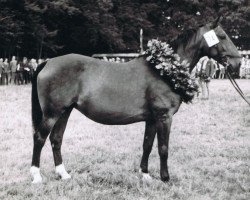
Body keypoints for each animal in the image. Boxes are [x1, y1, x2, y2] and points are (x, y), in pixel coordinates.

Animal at [30, 19, 241, 183]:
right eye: (222, 36)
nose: (237, 63)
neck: (165, 70)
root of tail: (48, 62)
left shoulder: (152, 119)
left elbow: (147, 144)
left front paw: (145, 174)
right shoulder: (164, 117)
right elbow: (163, 148)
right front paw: (165, 178)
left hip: (65, 112)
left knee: (56, 139)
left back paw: (63, 174)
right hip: (52, 114)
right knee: (40, 138)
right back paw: (36, 176)